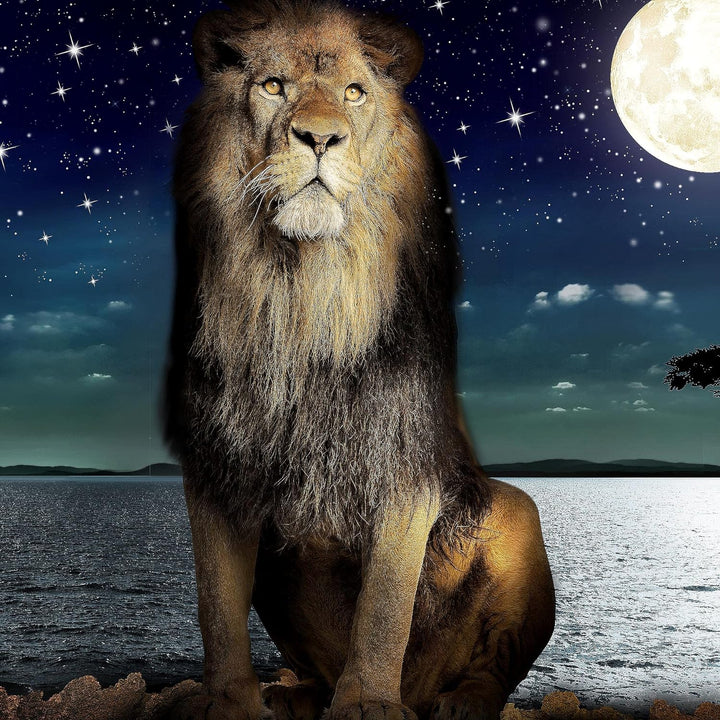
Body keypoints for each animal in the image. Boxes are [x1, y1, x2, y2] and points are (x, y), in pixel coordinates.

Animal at [163, 2, 555, 720]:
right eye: (273, 86)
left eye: (354, 93)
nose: (320, 138)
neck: (300, 295)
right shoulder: (216, 463)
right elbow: (216, 604)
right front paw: (229, 702)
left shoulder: (402, 456)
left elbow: (385, 603)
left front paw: (369, 701)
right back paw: (295, 695)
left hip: (517, 513)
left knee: (492, 666)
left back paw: (460, 701)